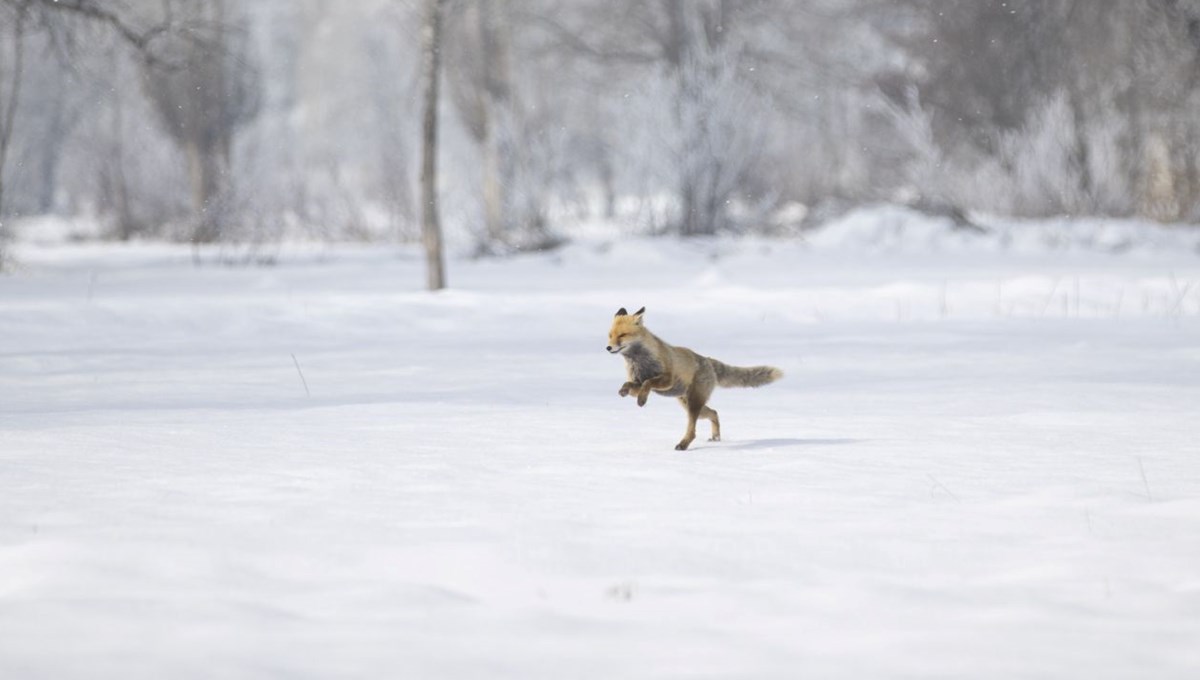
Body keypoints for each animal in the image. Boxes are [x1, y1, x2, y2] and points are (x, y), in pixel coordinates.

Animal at [604, 309, 782, 453]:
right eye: (610, 335)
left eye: (622, 335)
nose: (608, 348)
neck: (639, 361)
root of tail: (708, 360)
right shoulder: (637, 382)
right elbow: (630, 384)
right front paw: (624, 391)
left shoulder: (667, 379)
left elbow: (648, 384)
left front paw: (642, 400)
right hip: (689, 404)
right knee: (714, 412)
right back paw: (716, 438)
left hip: (693, 404)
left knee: (693, 430)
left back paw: (683, 445)